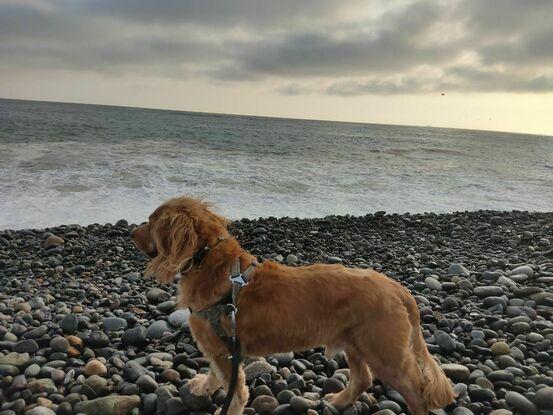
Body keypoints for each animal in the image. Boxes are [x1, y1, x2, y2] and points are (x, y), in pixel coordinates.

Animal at [132, 197, 454, 414]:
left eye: (150, 221)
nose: (131, 233)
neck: (212, 262)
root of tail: (398, 289)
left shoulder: (222, 346)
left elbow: (234, 391)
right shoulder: (221, 346)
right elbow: (216, 373)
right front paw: (204, 386)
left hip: (383, 351)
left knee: (416, 393)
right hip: (356, 342)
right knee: (362, 379)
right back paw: (338, 401)